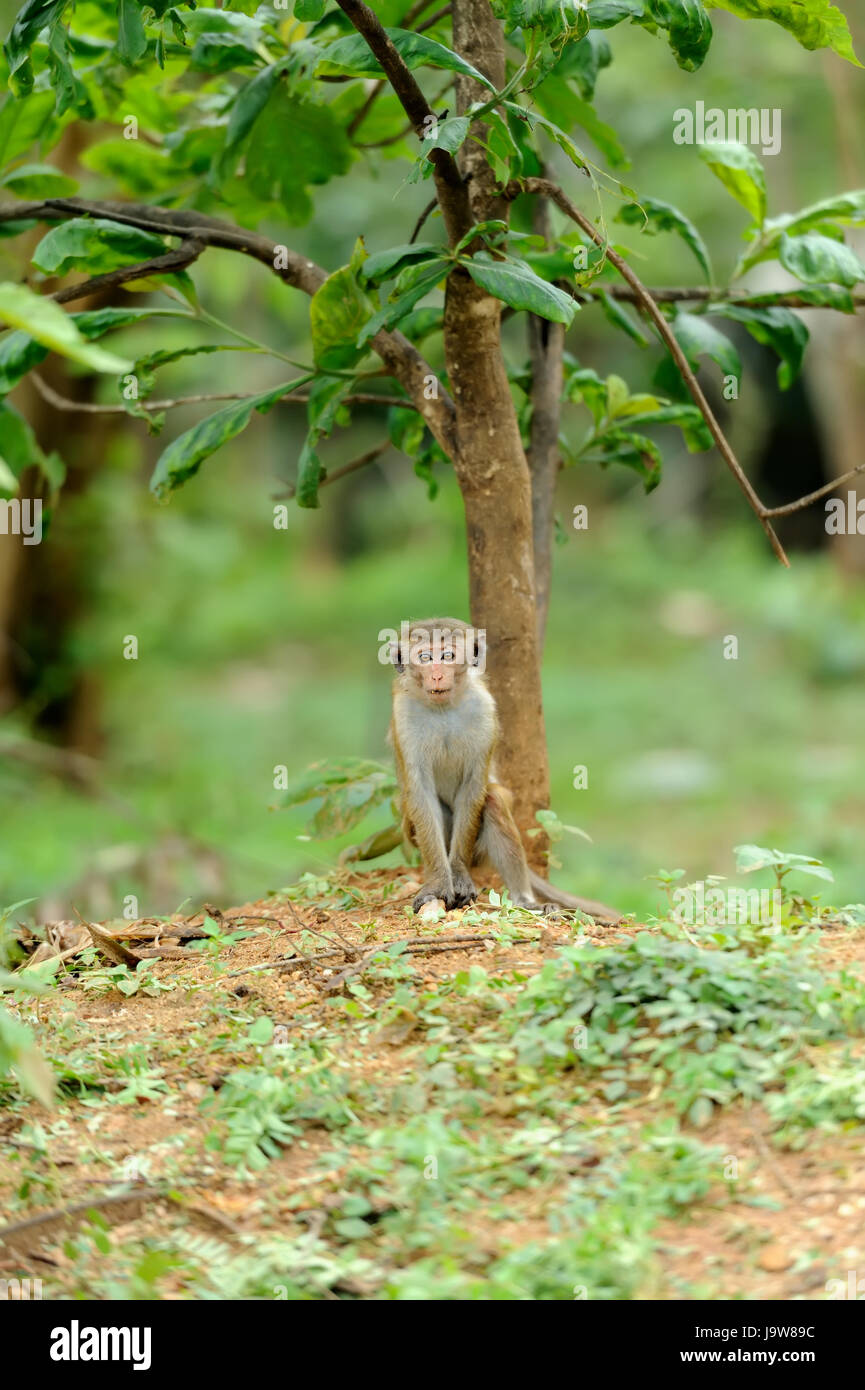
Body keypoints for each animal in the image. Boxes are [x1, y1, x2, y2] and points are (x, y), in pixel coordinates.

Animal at [387, 617, 621, 924]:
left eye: (448, 656)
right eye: (425, 658)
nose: (436, 676)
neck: (442, 708)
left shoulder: (485, 709)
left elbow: (474, 786)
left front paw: (459, 874)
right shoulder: (403, 713)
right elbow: (421, 793)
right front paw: (439, 883)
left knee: (495, 800)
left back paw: (525, 901)